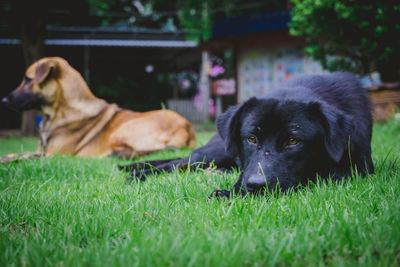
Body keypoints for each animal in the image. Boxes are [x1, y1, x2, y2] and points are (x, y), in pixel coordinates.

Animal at [2, 57, 196, 159]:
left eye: (27, 80)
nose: (3, 100)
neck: (54, 115)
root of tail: (186, 127)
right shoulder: (42, 151)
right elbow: (18, 153)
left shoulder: (53, 154)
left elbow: (23, 156)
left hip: (121, 131)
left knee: (134, 152)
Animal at [120, 72, 374, 198]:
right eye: (251, 138)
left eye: (293, 141)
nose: (257, 186)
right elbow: (241, 176)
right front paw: (229, 192)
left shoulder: (358, 167)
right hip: (213, 153)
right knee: (175, 163)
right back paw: (135, 173)